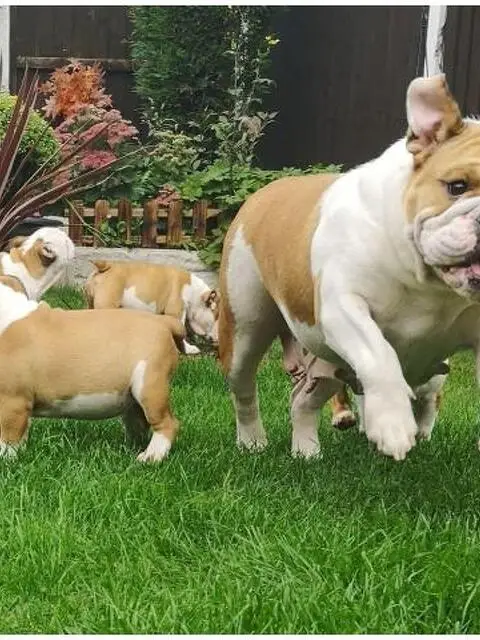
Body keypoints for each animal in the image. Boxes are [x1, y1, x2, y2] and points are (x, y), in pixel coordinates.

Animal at [0, 281, 184, 462]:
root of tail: (164, 322)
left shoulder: (13, 402)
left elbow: (9, 438)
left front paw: (7, 460)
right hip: (133, 399)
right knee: (139, 423)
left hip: (149, 386)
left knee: (167, 423)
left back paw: (151, 456)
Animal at [85, 260, 219, 355]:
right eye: (217, 317)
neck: (195, 293)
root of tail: (106, 266)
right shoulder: (177, 312)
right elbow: (182, 331)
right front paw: (188, 348)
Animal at [218, 73, 478, 461]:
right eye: (457, 186)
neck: (431, 285)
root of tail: (266, 191)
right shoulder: (344, 306)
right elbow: (378, 354)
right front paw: (392, 424)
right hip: (244, 328)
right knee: (244, 389)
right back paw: (252, 441)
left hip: (329, 367)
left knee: (303, 400)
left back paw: (306, 450)